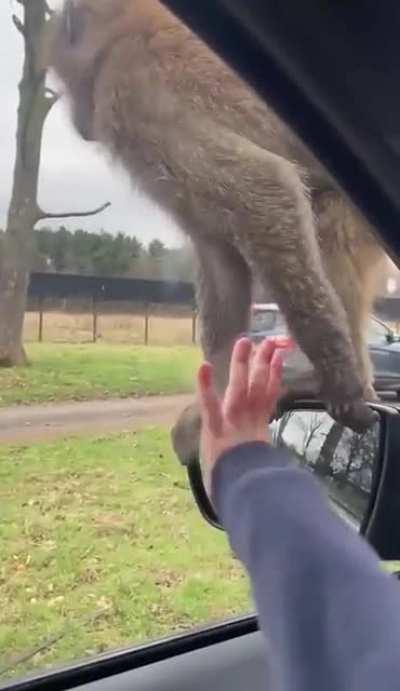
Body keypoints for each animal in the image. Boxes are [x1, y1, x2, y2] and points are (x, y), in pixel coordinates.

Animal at [48, 0, 385, 466]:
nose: (80, 122)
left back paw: (334, 378)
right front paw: (222, 402)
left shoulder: (135, 97)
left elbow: (264, 190)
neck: (121, 34)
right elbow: (217, 251)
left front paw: (342, 383)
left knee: (325, 221)